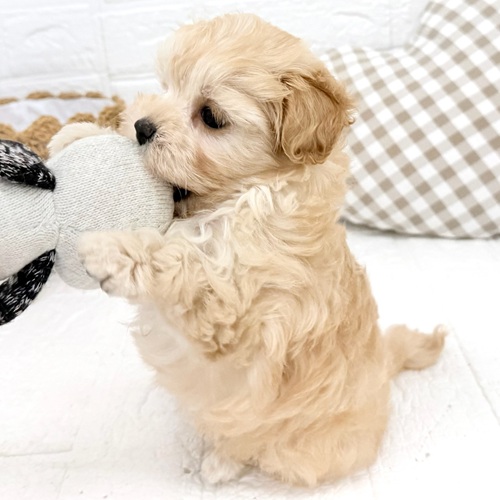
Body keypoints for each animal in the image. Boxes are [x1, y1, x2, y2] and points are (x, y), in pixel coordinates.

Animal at [50, 13, 446, 486]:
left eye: (211, 116)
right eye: (165, 86)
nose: (142, 127)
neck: (246, 199)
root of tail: (384, 372)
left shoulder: (238, 317)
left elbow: (184, 269)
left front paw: (112, 248)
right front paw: (77, 133)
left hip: (293, 446)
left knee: (250, 441)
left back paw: (220, 463)